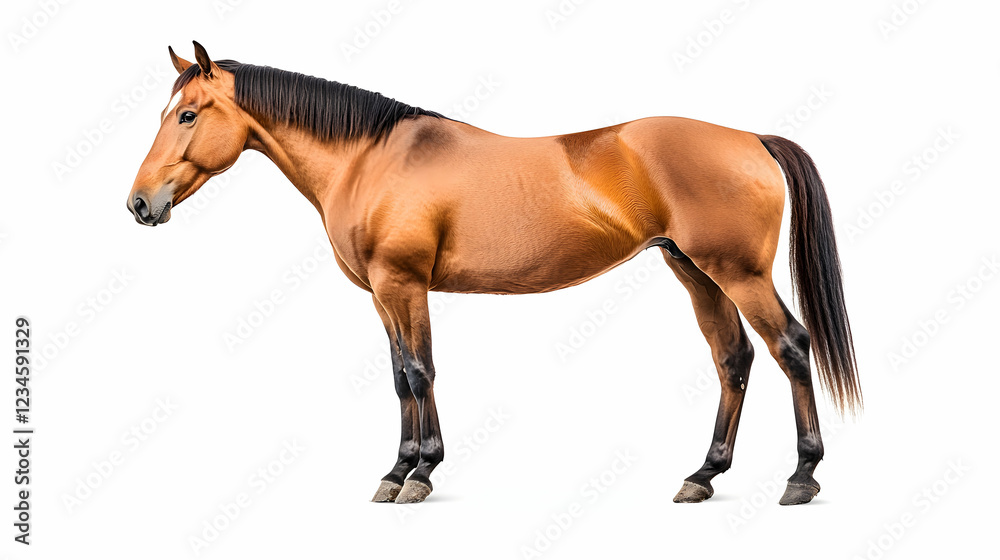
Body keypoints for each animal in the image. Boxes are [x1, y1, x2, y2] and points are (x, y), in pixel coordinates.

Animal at [128, 42, 860, 506]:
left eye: (188, 114)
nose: (140, 203)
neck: (369, 158)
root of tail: (751, 138)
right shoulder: (382, 296)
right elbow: (398, 377)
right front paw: (396, 469)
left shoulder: (403, 284)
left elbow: (420, 371)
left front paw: (421, 473)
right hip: (696, 273)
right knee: (733, 359)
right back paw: (703, 476)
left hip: (738, 274)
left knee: (792, 347)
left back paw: (802, 477)